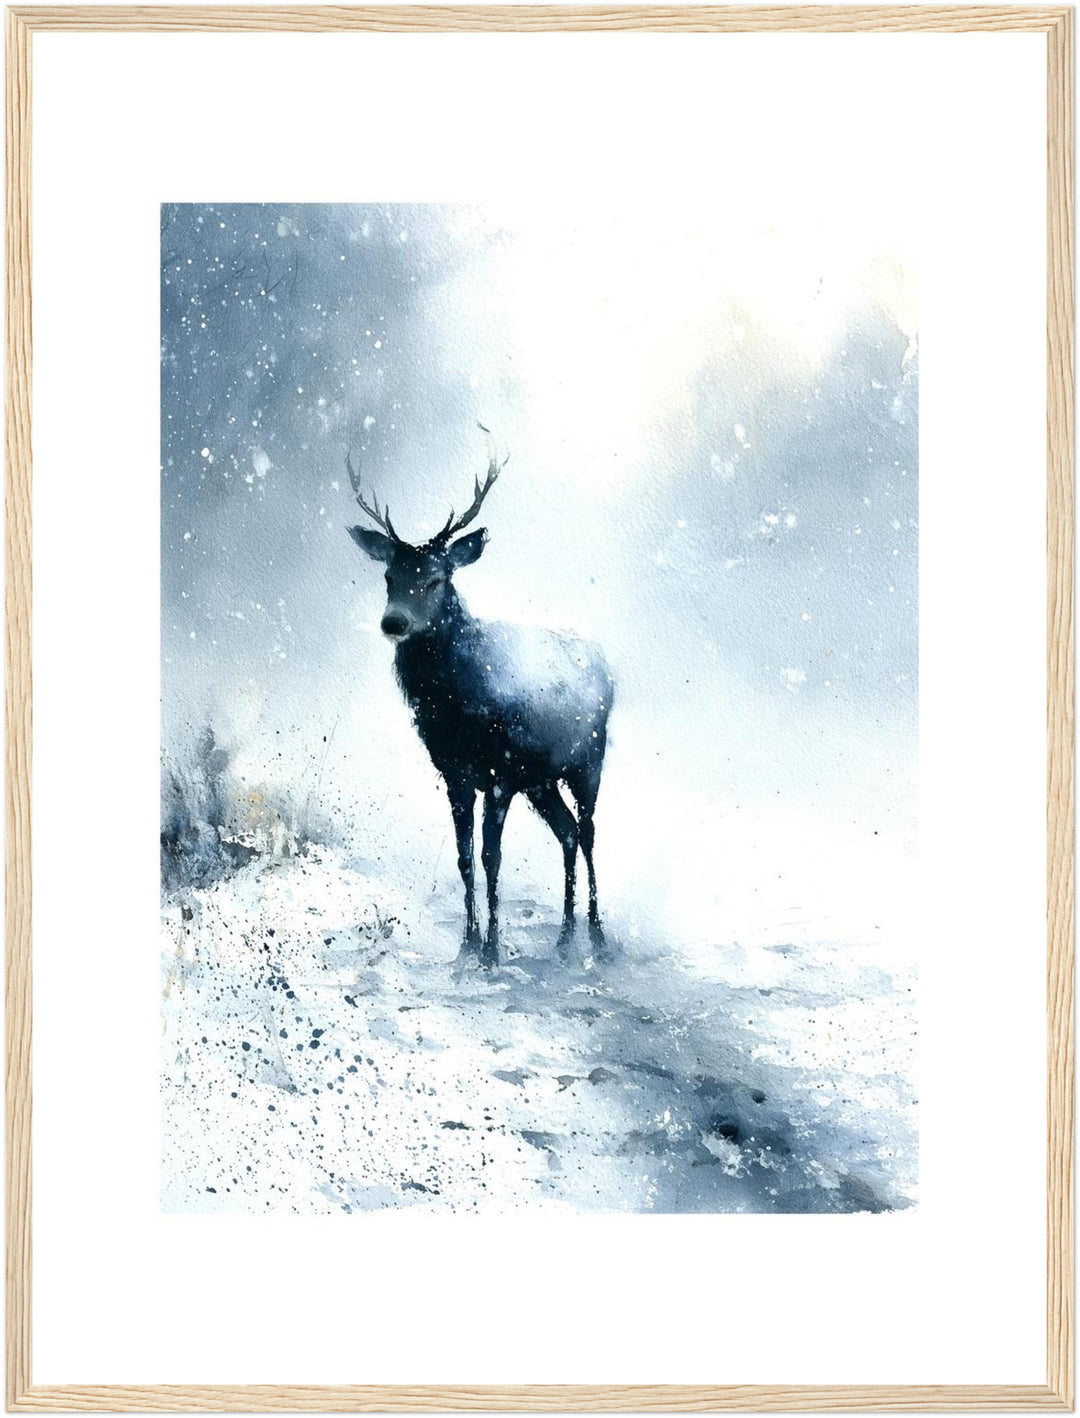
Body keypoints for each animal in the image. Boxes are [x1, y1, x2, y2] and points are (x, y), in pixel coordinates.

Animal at [347, 426, 613, 968]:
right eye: (388, 577)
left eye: (436, 577)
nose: (393, 622)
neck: (457, 708)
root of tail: (609, 669)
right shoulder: (455, 772)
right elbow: (465, 857)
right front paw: (465, 946)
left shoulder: (501, 772)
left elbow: (493, 856)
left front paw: (491, 950)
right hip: (542, 780)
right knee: (568, 832)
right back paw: (564, 936)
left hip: (589, 760)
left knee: (590, 832)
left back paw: (597, 935)